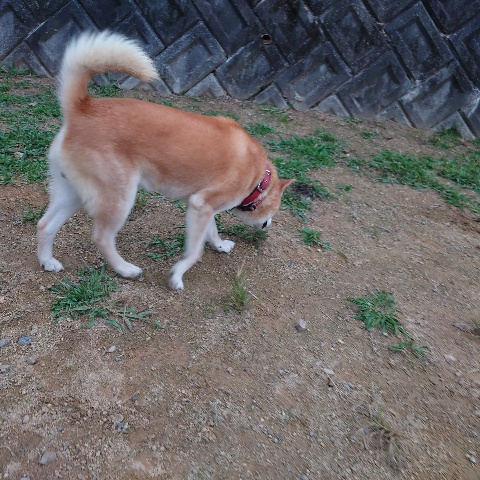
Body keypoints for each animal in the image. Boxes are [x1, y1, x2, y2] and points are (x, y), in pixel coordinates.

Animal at [37, 31, 293, 290]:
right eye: (275, 209)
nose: (269, 225)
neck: (258, 178)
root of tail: (82, 108)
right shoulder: (202, 205)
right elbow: (194, 252)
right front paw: (177, 275)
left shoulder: (202, 205)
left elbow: (211, 231)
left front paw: (220, 246)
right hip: (119, 198)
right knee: (101, 237)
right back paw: (126, 269)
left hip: (73, 193)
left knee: (45, 225)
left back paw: (48, 262)